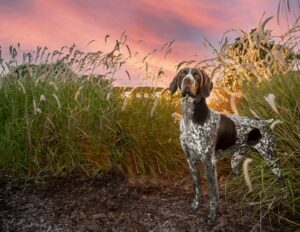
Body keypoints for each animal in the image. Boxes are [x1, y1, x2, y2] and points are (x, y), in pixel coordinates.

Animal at [169, 67, 286, 225]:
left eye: (197, 76)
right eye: (183, 73)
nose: (188, 81)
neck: (190, 117)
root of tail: (264, 122)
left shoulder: (209, 162)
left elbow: (213, 194)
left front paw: (212, 217)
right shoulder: (191, 161)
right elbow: (197, 188)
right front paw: (195, 205)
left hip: (271, 158)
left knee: (283, 182)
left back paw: (283, 199)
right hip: (236, 160)